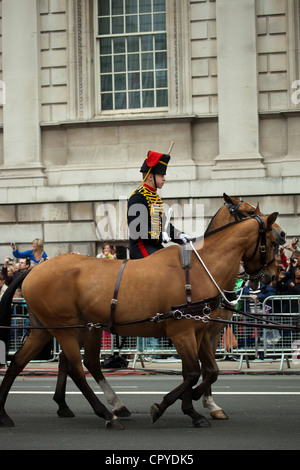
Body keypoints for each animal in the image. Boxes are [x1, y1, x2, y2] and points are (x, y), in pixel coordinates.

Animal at [0, 209, 282, 430]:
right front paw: (173, 406)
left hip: (52, 329)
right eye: (275, 240)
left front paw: (193, 406)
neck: (201, 269)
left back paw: (7, 413)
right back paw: (107, 414)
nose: (271, 276)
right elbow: (193, 372)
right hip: (67, 329)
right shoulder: (182, 331)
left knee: (21, 363)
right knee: (77, 370)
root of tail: (34, 269)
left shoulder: (201, 332)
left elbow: (206, 371)